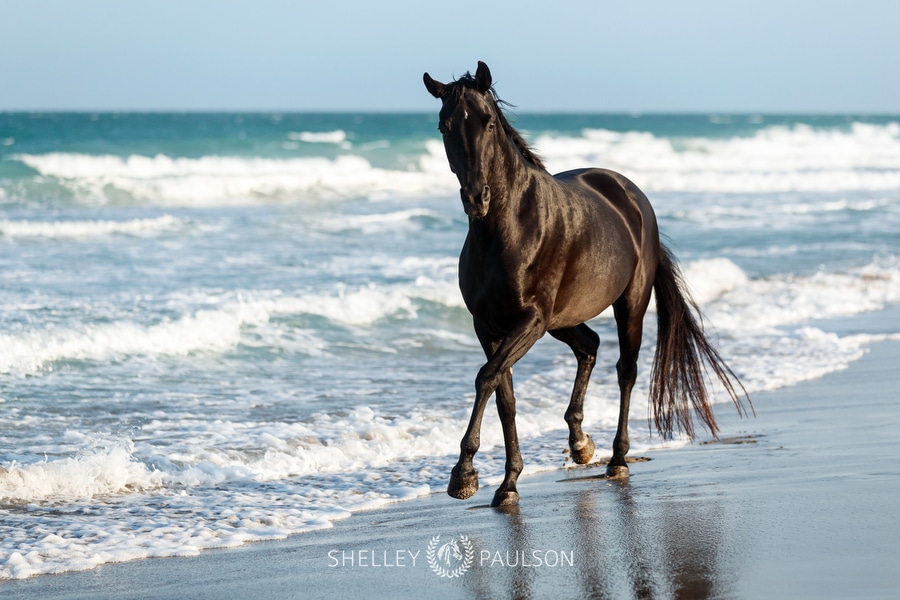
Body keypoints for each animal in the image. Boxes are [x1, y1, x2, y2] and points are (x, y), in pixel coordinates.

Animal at [426, 62, 748, 506]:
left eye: (488, 122)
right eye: (444, 127)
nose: (477, 198)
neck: (506, 229)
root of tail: (631, 196)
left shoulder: (529, 320)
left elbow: (485, 378)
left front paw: (464, 474)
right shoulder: (489, 326)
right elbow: (503, 395)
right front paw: (507, 483)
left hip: (628, 305)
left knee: (626, 370)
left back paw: (617, 459)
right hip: (562, 320)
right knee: (590, 346)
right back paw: (580, 443)